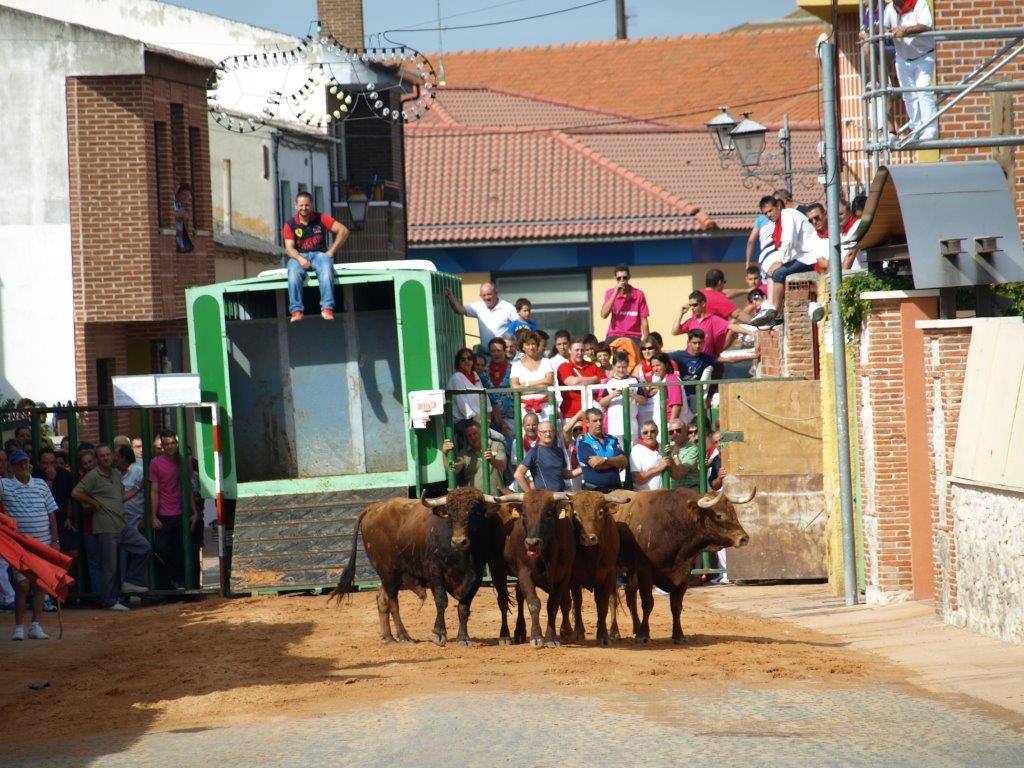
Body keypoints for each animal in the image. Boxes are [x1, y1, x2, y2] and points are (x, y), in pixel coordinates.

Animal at [327, 489, 507, 647]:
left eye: (475, 513)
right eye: (450, 514)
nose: (458, 541)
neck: (461, 556)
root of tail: (373, 508)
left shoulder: (476, 575)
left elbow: (464, 608)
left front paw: (464, 638)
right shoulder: (435, 572)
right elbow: (441, 601)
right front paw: (438, 634)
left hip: (392, 575)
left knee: (382, 599)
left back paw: (389, 637)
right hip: (388, 572)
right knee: (393, 602)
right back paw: (403, 636)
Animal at [606, 479, 753, 647]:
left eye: (733, 512)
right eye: (719, 515)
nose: (743, 538)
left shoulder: (684, 573)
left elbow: (676, 606)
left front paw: (678, 635)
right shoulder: (645, 571)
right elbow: (648, 603)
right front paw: (644, 635)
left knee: (630, 597)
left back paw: (636, 628)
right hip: (614, 569)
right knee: (613, 598)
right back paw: (614, 632)